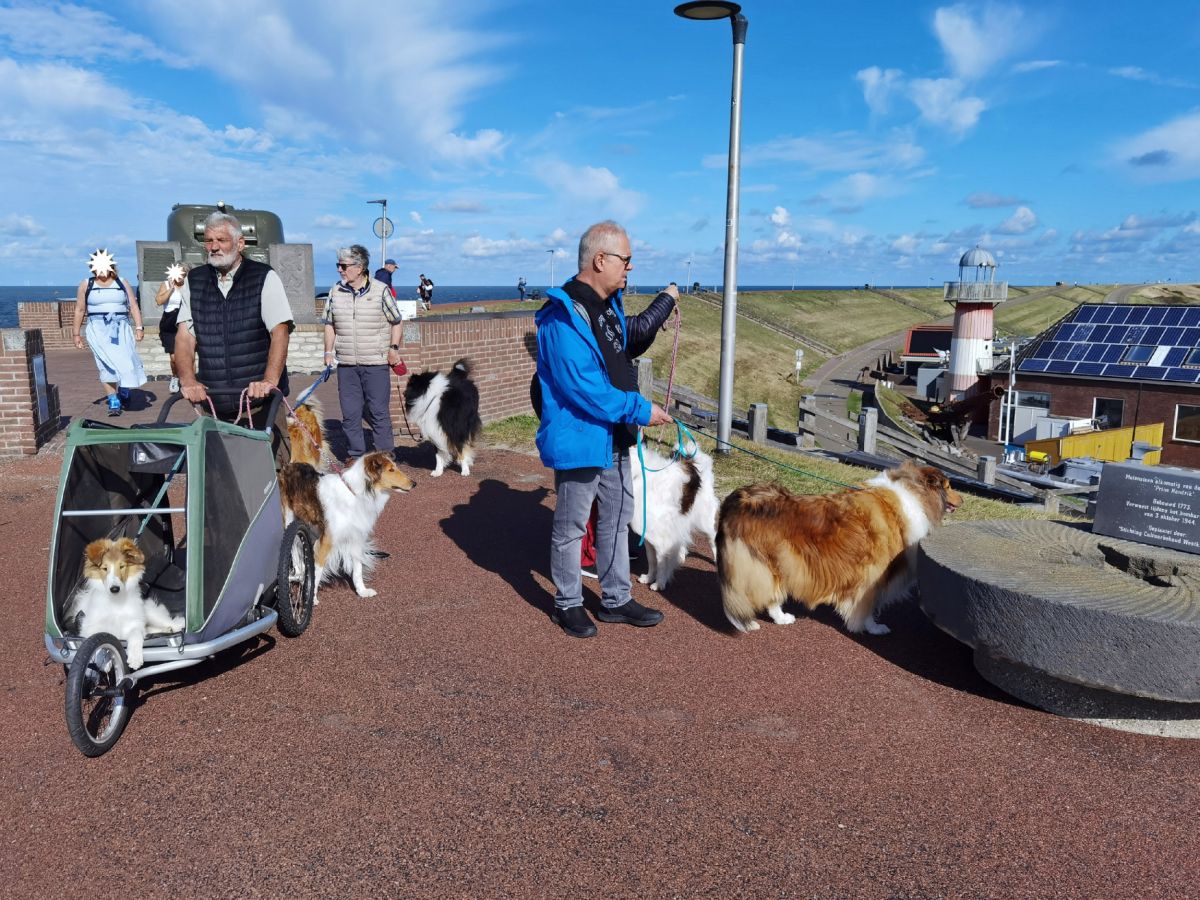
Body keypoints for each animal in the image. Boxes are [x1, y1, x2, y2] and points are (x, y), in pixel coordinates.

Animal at [63, 537, 184, 669]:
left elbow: (136, 634)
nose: (115, 589)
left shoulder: (134, 623)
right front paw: (104, 659)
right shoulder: (89, 629)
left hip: (150, 613)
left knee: (168, 621)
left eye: (121, 566)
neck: (116, 601)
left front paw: (135, 658)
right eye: (105, 568)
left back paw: (176, 626)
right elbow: (99, 639)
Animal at [278, 452, 414, 599]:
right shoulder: (326, 542)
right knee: (293, 547)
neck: (356, 494)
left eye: (395, 467)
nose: (414, 483)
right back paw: (298, 573)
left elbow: (357, 569)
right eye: (391, 470)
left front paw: (362, 591)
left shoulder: (356, 538)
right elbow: (317, 571)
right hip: (289, 519)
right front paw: (312, 598)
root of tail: (288, 465)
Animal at [630, 444, 719, 591]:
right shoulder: (649, 537)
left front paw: (659, 583)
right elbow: (652, 560)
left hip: (703, 521)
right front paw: (649, 578)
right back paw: (681, 555)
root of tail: (692, 459)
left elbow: (661, 563)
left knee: (712, 538)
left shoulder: (660, 539)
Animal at [717, 460, 962, 635]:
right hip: (766, 561)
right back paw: (750, 622)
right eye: (949, 486)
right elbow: (868, 607)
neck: (914, 494)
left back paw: (781, 618)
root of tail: (737, 499)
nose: (963, 501)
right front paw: (873, 628)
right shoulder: (873, 576)